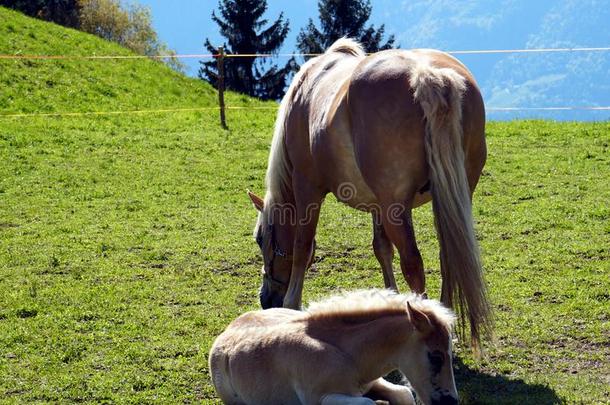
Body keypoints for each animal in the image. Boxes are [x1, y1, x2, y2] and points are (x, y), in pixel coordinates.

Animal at [209, 288, 456, 402]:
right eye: (436, 356)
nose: (450, 402)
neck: (349, 354)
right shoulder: (321, 399)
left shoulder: (372, 382)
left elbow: (404, 394)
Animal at [247, 38, 490, 346]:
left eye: (260, 239)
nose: (266, 299)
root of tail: (427, 75)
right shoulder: (377, 206)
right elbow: (382, 249)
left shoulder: (307, 189)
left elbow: (303, 246)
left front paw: (292, 303)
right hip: (448, 201)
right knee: (447, 258)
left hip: (396, 208)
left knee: (414, 264)